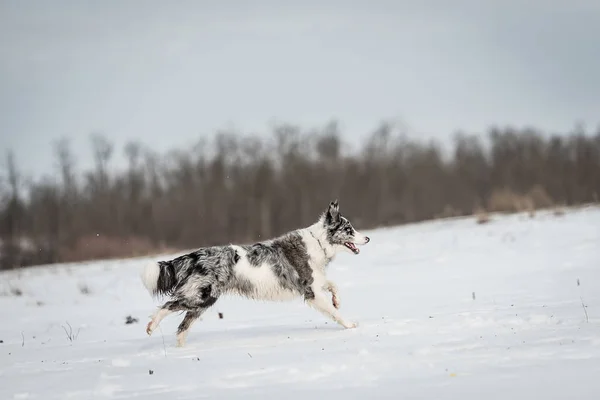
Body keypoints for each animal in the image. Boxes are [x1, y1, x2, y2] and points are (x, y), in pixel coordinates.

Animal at [141, 200, 370, 346]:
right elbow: (334, 312)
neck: (319, 243)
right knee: (169, 306)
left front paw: (337, 300)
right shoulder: (311, 291)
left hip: (202, 301)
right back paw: (152, 326)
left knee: (182, 327)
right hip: (201, 296)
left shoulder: (315, 281)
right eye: (349, 229)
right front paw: (350, 325)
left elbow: (333, 285)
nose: (367, 238)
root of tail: (194, 255)